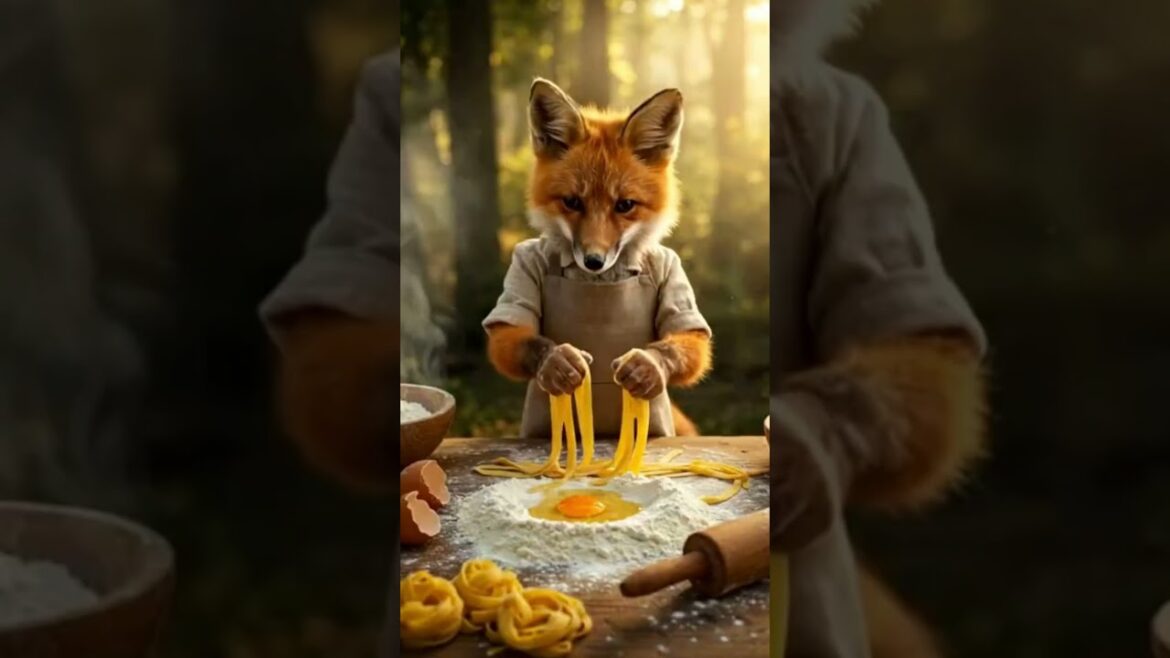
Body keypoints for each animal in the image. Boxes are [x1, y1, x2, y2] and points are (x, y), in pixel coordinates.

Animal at [483, 79, 713, 436]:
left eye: (625, 205)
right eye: (572, 202)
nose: (594, 261)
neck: (599, 283)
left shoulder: (672, 267)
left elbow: (687, 340)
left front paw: (648, 366)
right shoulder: (522, 263)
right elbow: (511, 334)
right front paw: (556, 362)